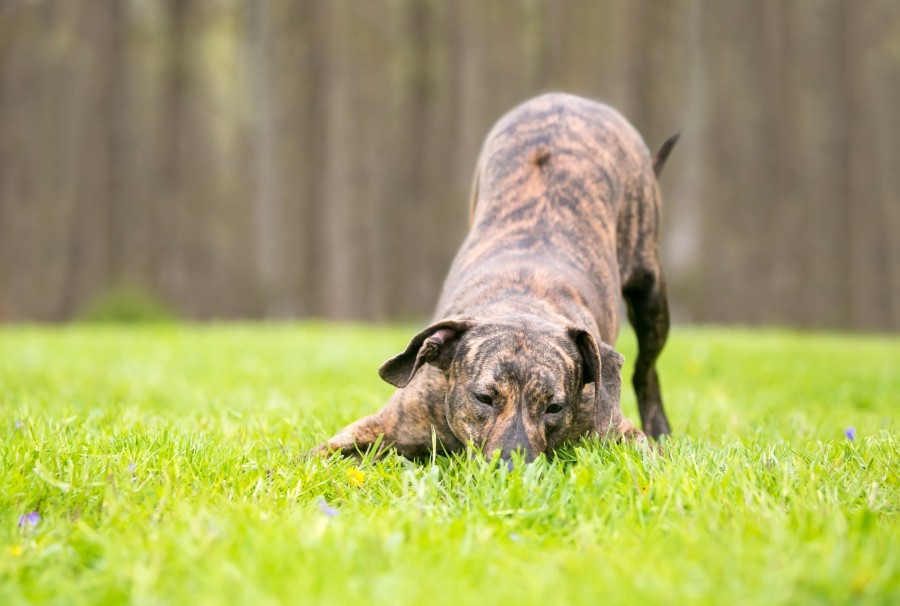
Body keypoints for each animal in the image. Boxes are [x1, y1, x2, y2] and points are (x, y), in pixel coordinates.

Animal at [320, 94, 680, 466]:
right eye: (483, 397)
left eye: (554, 407)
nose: (513, 465)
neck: (522, 301)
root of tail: (568, 98)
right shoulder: (383, 426)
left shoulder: (615, 428)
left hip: (650, 295)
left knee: (645, 371)